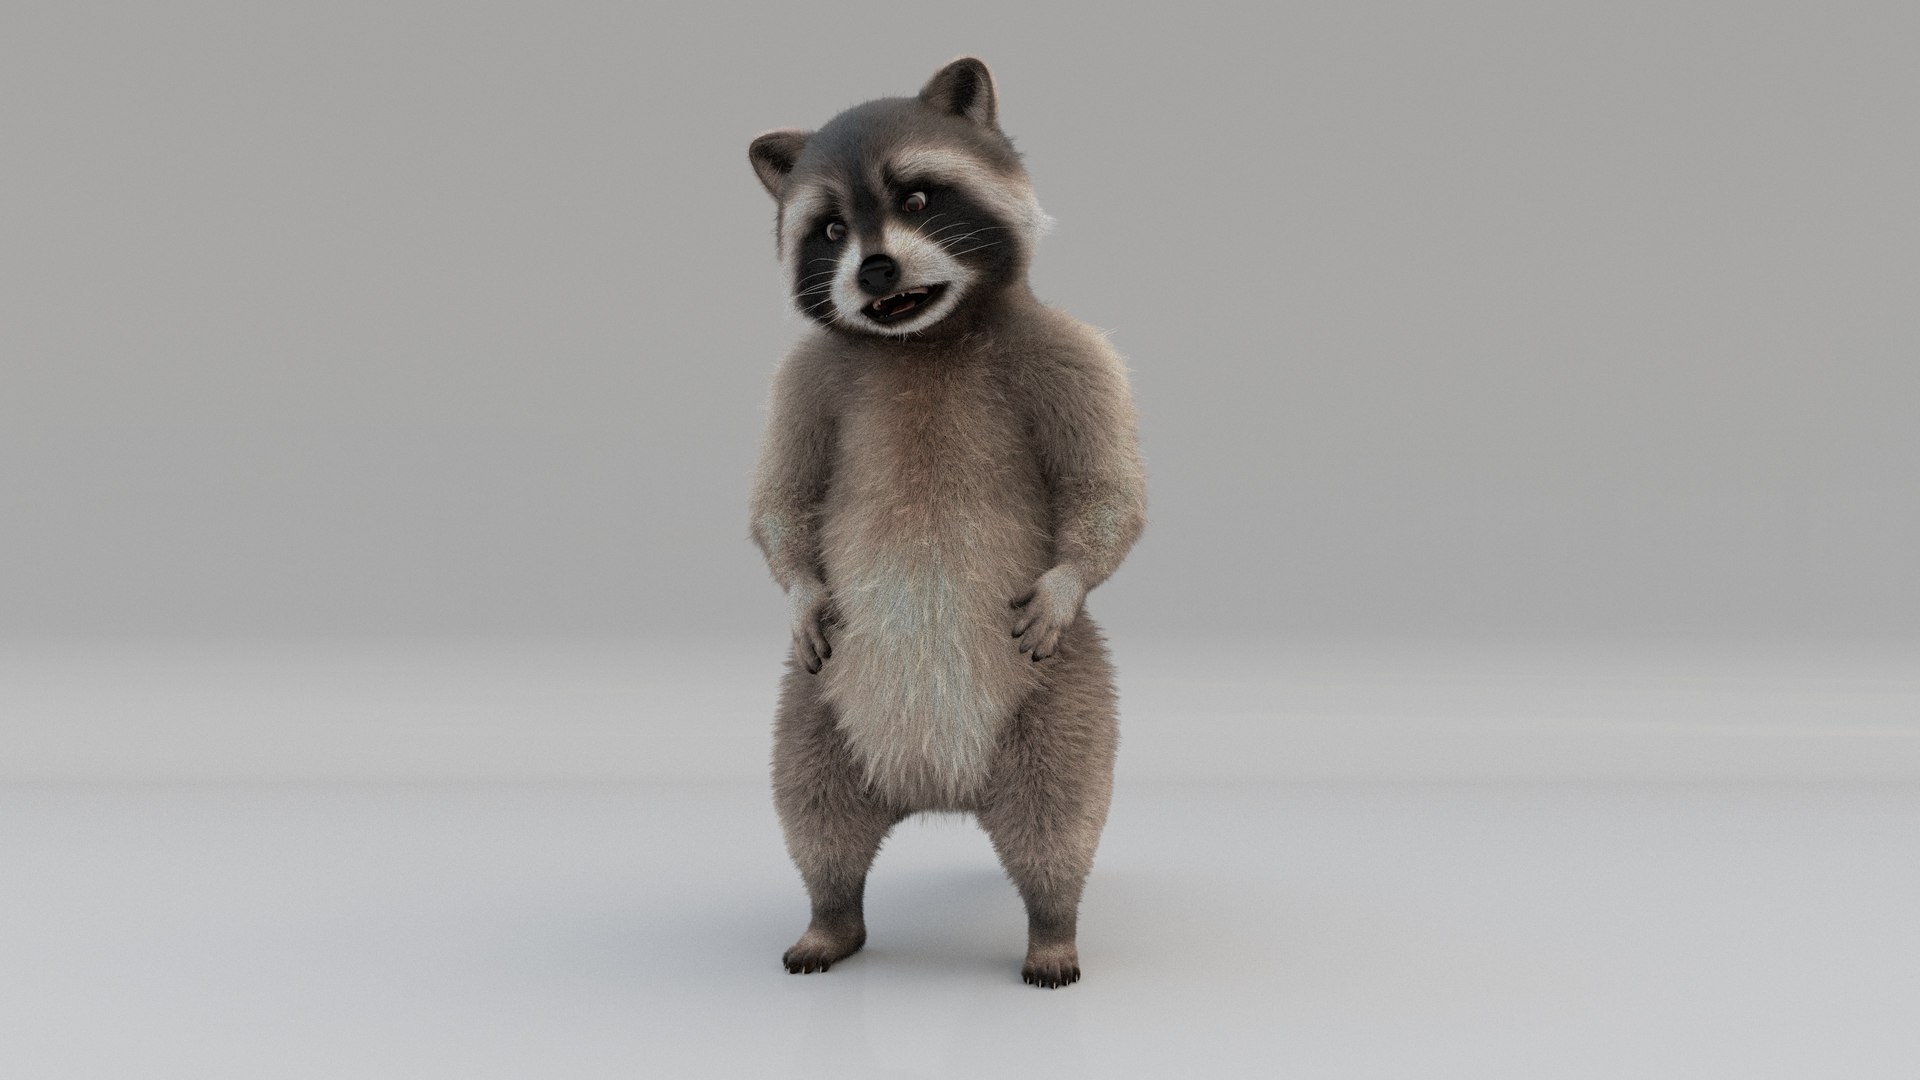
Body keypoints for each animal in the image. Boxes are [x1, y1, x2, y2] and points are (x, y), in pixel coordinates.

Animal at [746, 57, 1146, 988]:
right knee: (812, 808)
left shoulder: (1065, 350)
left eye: (919, 198)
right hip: (819, 706)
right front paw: (800, 589)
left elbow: (1108, 488)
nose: (875, 271)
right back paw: (829, 917)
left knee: (1061, 816)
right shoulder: (805, 376)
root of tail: (938, 787)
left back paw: (1052, 926)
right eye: (830, 229)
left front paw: (1067, 578)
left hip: (1063, 693)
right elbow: (780, 497)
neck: (918, 338)